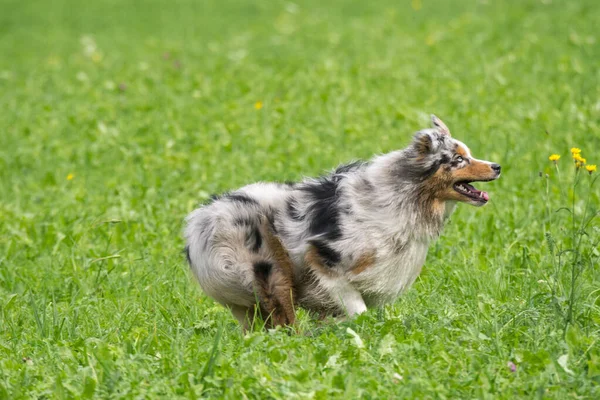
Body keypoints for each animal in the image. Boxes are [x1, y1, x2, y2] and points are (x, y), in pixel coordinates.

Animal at [184, 115, 502, 328]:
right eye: (458, 160)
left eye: (469, 154)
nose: (497, 166)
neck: (404, 194)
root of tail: (199, 221)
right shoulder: (326, 262)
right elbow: (358, 310)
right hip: (271, 271)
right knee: (286, 326)